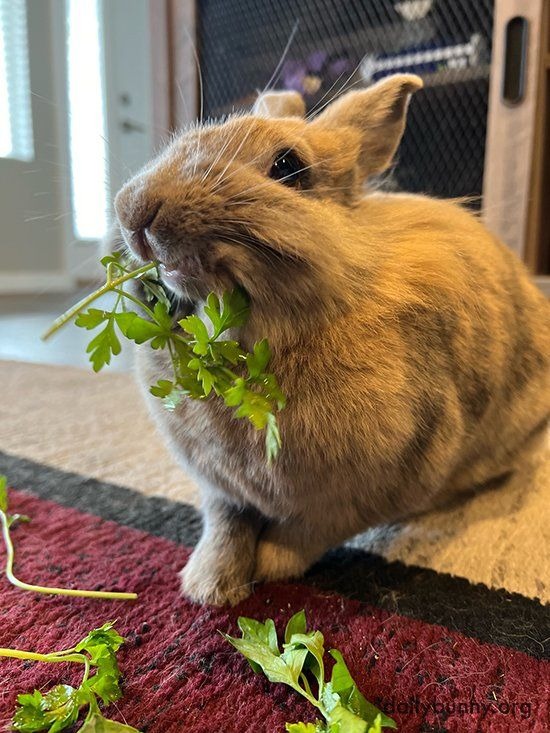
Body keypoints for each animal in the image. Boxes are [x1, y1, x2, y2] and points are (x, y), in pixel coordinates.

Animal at [113, 74, 550, 606]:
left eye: (288, 167)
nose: (135, 210)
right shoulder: (221, 486)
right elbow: (225, 523)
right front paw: (209, 586)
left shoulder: (372, 492)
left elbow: (306, 533)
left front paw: (270, 567)